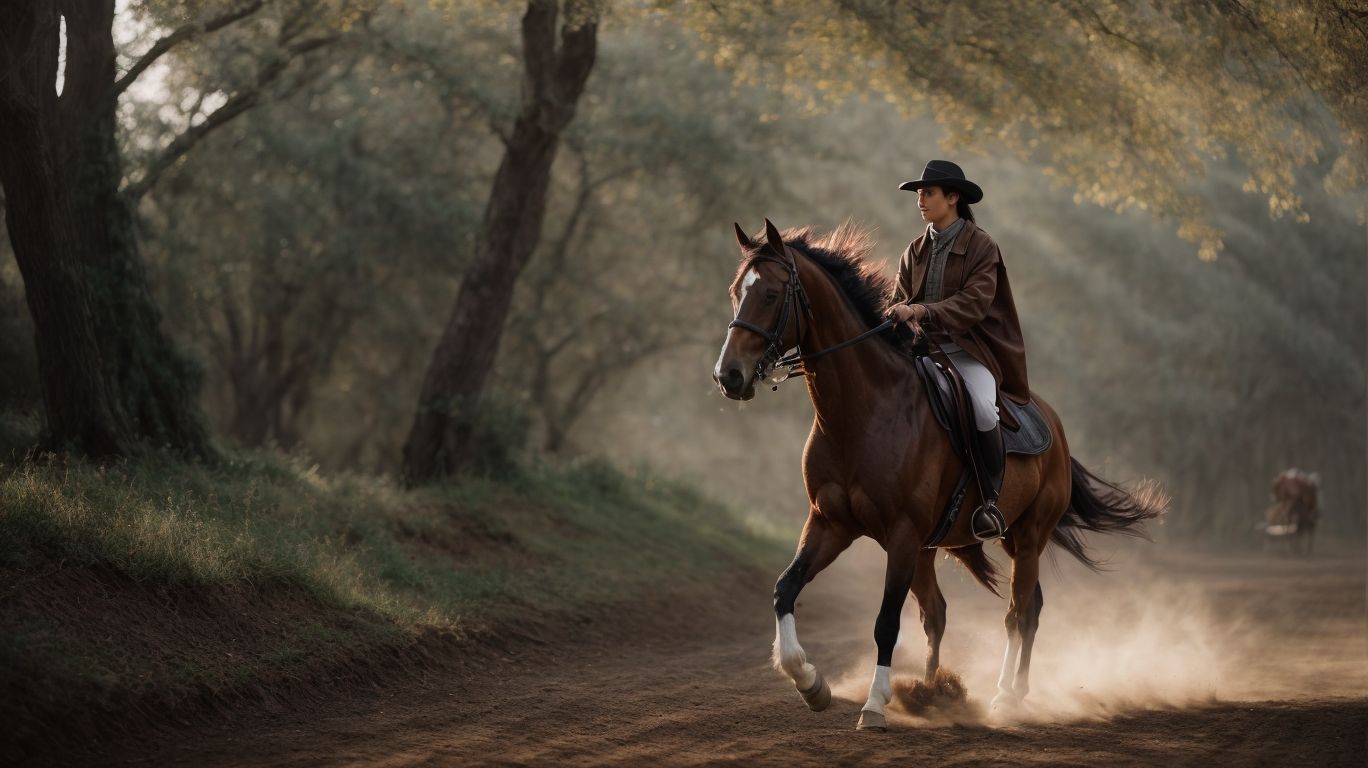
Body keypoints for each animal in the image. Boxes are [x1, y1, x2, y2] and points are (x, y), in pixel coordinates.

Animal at [712, 219, 1166, 731]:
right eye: (736, 292)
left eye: (770, 294)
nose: (728, 376)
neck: (862, 413)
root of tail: (1052, 422)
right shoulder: (831, 524)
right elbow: (785, 590)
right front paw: (811, 683)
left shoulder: (902, 533)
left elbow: (886, 621)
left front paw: (874, 704)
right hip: (965, 545)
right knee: (954, 613)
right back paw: (937, 691)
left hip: (1026, 536)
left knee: (1018, 613)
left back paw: (1006, 697)